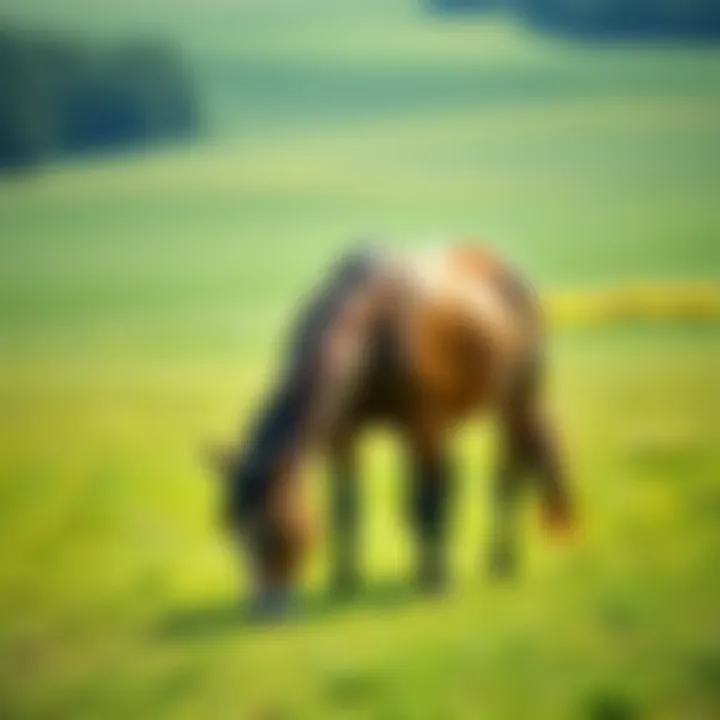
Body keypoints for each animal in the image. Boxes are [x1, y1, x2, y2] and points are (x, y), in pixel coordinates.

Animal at [208, 243, 575, 617]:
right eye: (232, 531)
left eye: (271, 529)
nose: (265, 610)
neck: (374, 330)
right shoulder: (344, 435)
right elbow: (347, 507)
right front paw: (344, 583)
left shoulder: (423, 426)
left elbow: (425, 502)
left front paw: (436, 582)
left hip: (516, 402)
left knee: (506, 474)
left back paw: (502, 560)